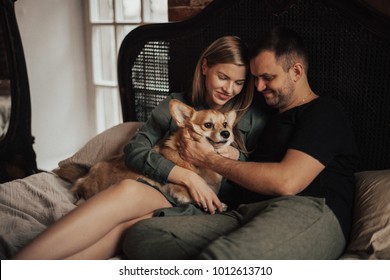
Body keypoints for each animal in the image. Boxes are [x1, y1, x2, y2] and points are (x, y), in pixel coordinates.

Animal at [65, 99, 236, 209]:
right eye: (208, 125)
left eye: (225, 124)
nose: (226, 133)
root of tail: (83, 179)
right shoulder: (181, 191)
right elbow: (198, 196)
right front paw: (218, 204)